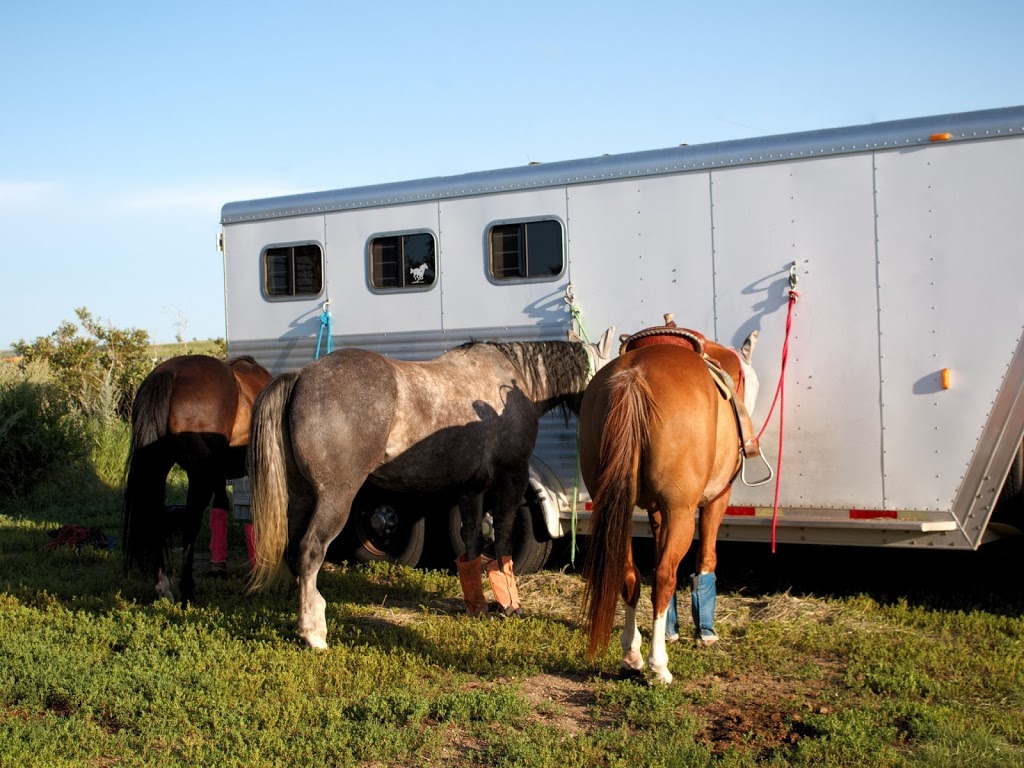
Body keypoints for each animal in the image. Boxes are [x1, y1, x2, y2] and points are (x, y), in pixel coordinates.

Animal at [121, 352, 272, 606]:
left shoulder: (220, 474)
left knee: (156, 516)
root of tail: (169, 373)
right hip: (199, 476)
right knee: (190, 523)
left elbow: (222, 506)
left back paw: (164, 586)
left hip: (162, 465)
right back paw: (187, 590)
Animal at [246, 331, 614, 651]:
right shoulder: (513, 476)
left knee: (295, 550)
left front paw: (476, 607)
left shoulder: (471, 488)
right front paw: (510, 604)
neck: (511, 383)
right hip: (336, 498)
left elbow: (471, 545)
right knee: (311, 551)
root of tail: (300, 376)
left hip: (302, 497)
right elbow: (503, 540)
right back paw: (314, 634)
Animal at [577, 325, 761, 684]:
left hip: (617, 508)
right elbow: (705, 558)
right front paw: (705, 631)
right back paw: (658, 664)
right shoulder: (715, 499)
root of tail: (634, 378)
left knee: (630, 575)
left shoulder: (655, 511)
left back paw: (631, 654)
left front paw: (670, 631)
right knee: (663, 577)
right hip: (681, 512)